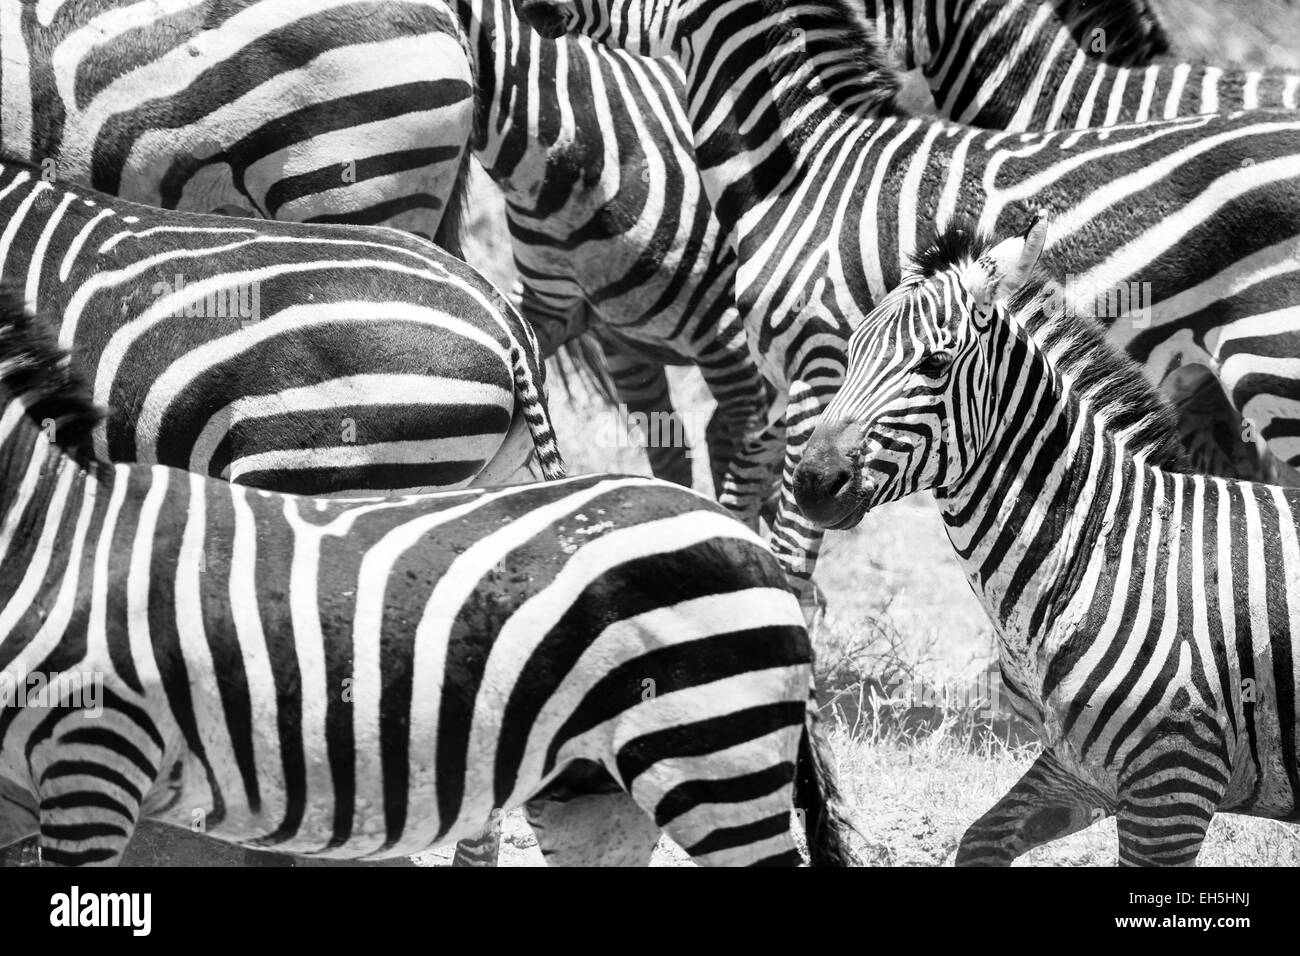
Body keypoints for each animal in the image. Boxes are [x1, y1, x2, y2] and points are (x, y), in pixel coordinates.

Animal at [793, 217, 1300, 865]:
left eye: (935, 363)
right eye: (852, 351)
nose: (812, 484)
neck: (1109, 548)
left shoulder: (1173, 787)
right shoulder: (1078, 766)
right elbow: (981, 839)